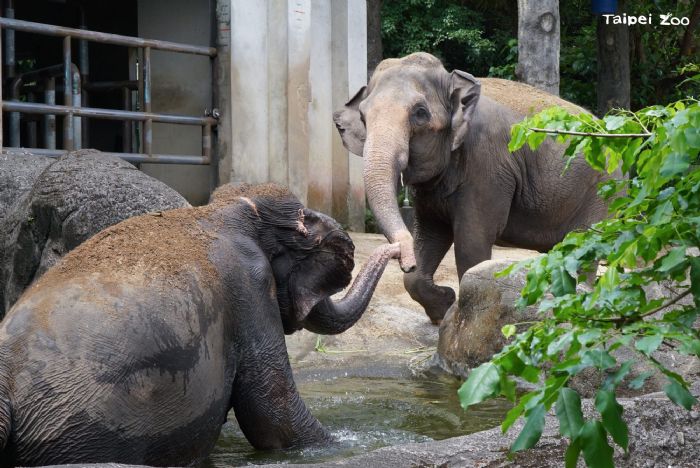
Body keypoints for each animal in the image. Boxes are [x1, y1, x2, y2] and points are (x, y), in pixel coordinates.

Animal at [334, 52, 611, 324]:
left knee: (580, 248)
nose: (406, 262)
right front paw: (443, 308)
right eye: (362, 117)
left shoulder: (487, 168)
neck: (452, 79)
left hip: (601, 192)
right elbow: (430, 233)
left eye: (420, 113)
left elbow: (471, 243)